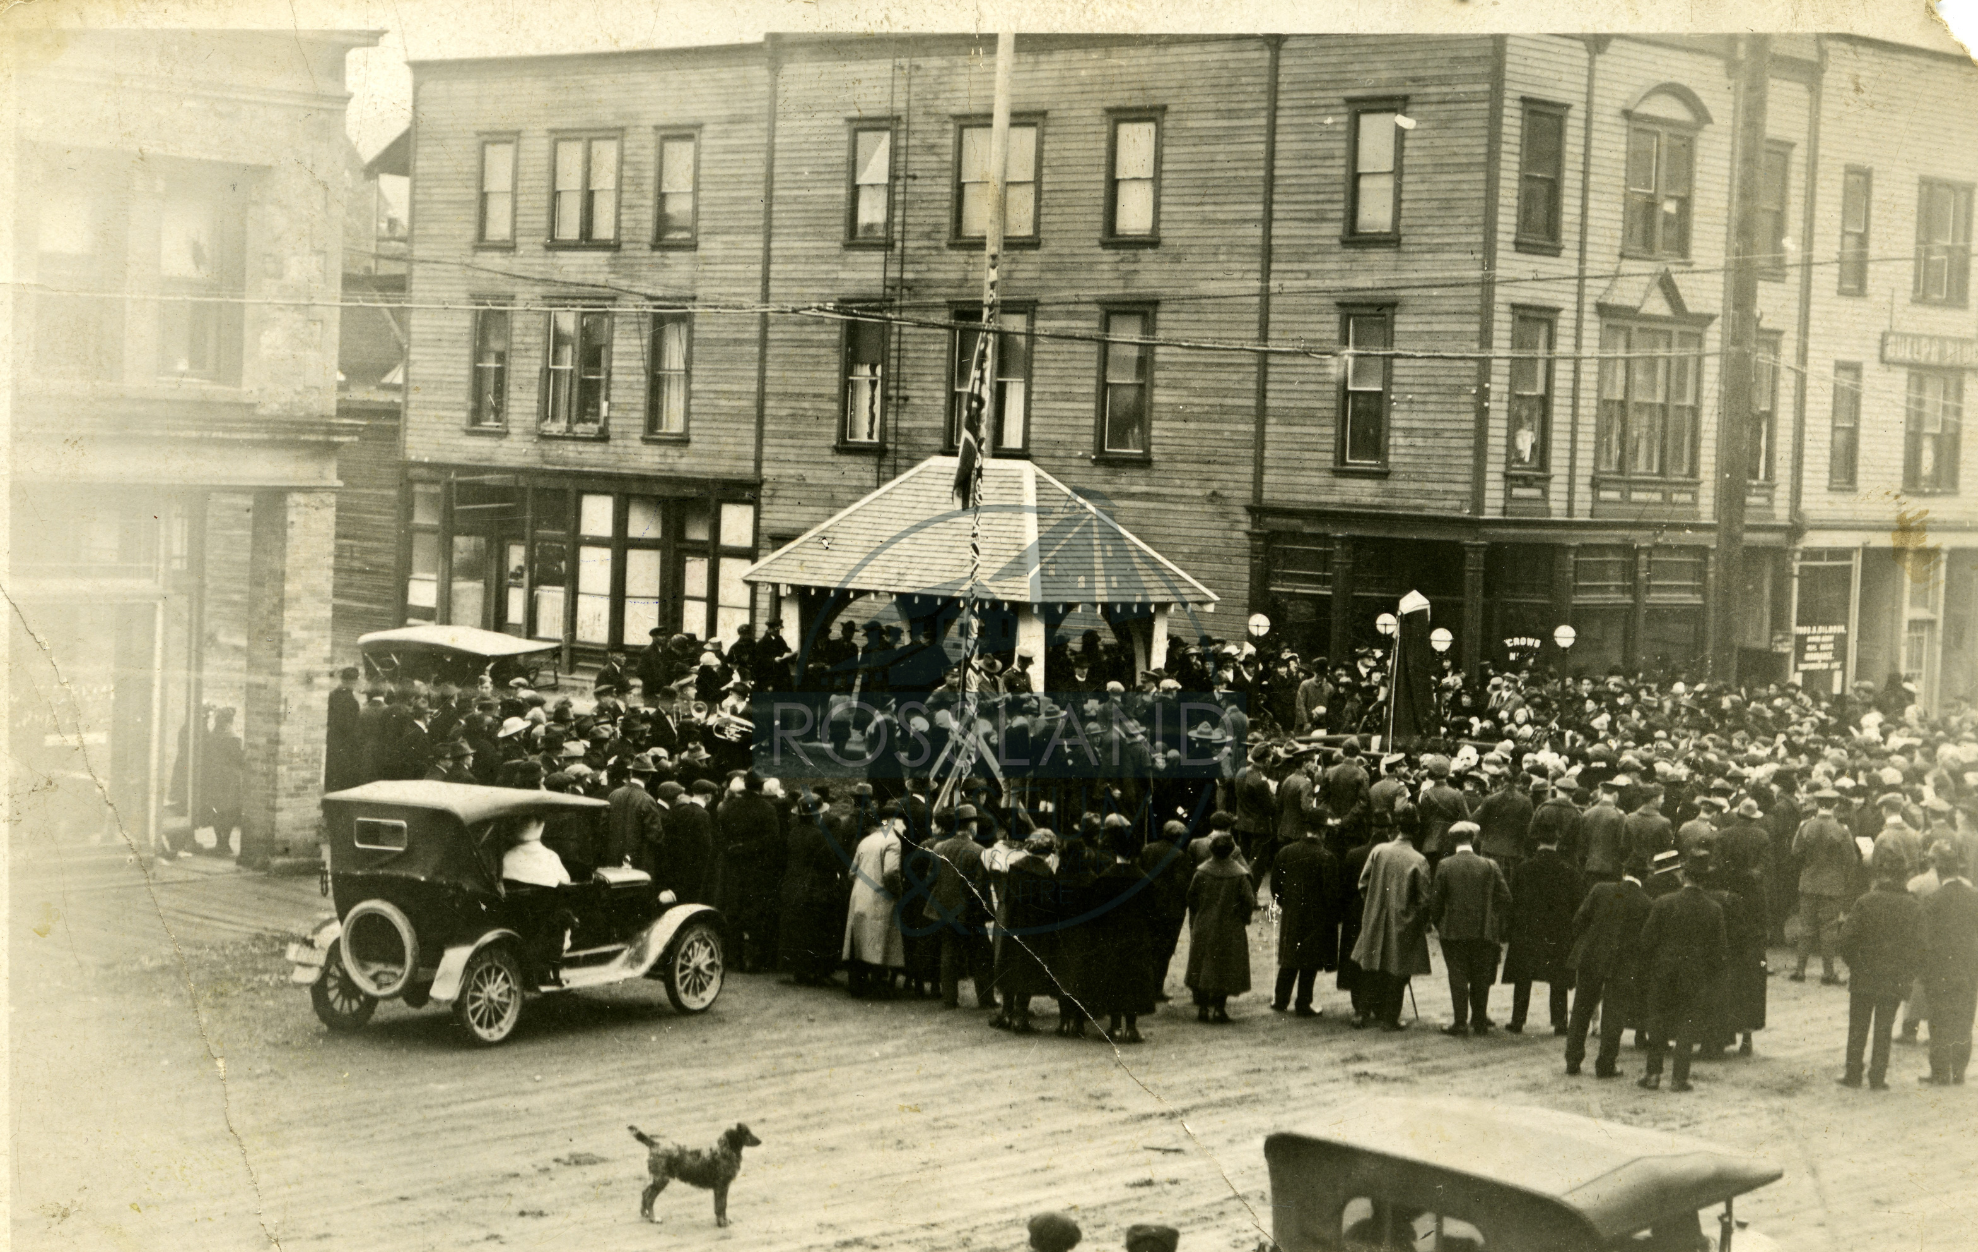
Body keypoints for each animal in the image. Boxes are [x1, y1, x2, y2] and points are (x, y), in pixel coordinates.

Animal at [629, 1115, 759, 1226]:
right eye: (746, 1132)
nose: (760, 1141)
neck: (725, 1149)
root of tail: (655, 1144)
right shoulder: (721, 1186)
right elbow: (720, 1206)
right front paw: (721, 1222)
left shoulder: (724, 1187)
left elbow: (723, 1205)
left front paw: (725, 1220)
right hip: (660, 1180)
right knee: (649, 1198)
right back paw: (653, 1218)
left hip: (657, 1180)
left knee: (645, 1193)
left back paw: (645, 1214)